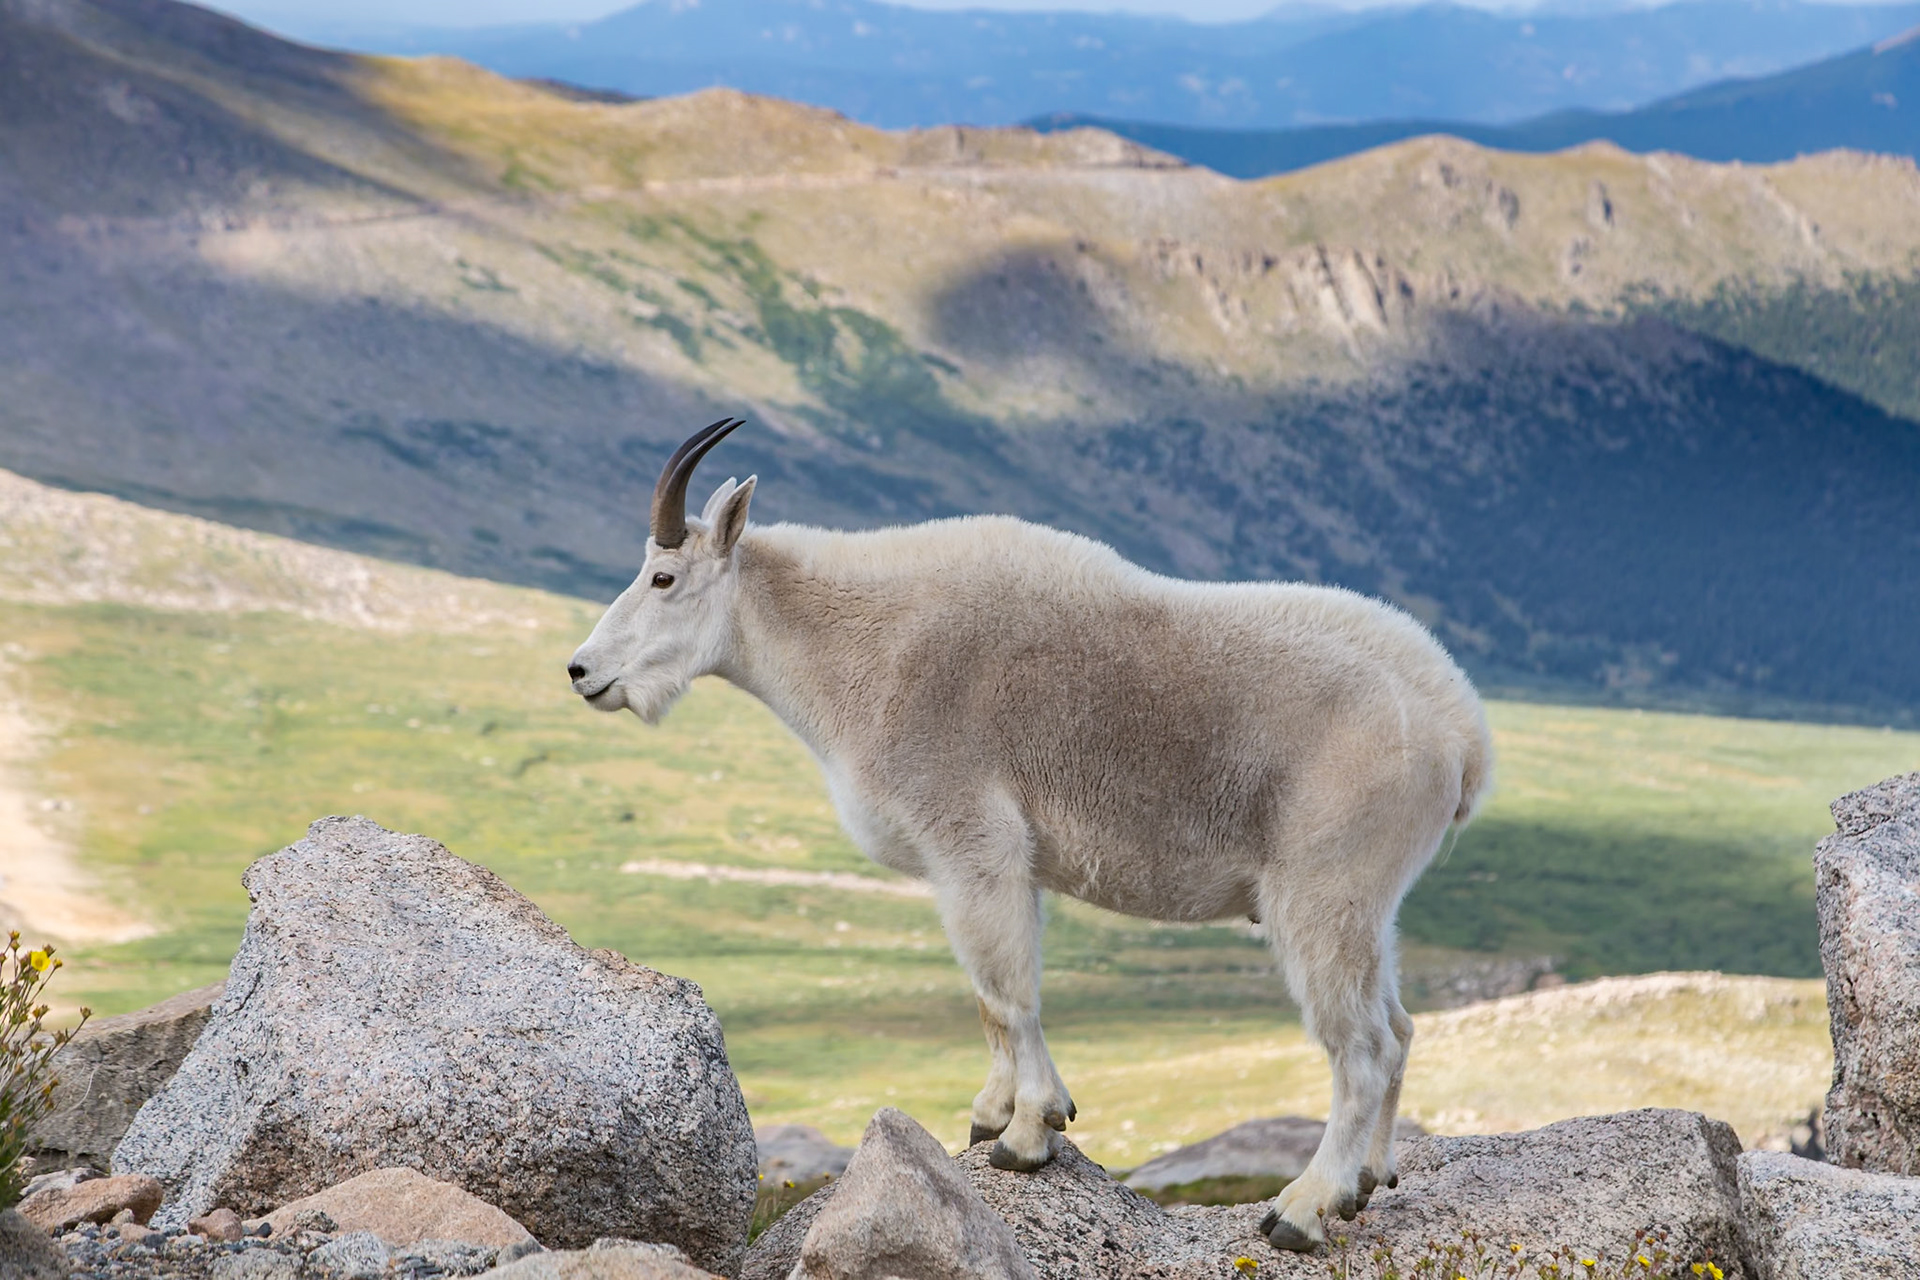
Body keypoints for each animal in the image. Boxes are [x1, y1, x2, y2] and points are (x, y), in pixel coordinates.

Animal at [567, 419, 1492, 1252]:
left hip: (1323, 886)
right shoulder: (998, 865)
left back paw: (1302, 1209)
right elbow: (990, 1000)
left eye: (662, 576)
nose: (581, 671)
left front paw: (1026, 1135)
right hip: (1371, 903)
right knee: (1401, 1028)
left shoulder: (971, 841)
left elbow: (1007, 992)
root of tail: (1463, 735)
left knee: (1362, 1048)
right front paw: (990, 1117)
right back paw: (1367, 1181)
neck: (861, 640)